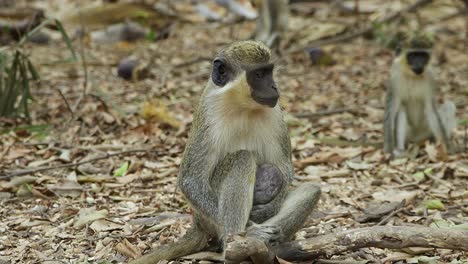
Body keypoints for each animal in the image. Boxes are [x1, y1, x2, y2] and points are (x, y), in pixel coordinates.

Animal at [130, 39, 320, 264]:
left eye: (269, 72)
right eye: (259, 75)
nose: (274, 86)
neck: (242, 106)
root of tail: (197, 222)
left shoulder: (275, 114)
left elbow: (285, 170)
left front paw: (268, 209)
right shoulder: (208, 113)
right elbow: (191, 180)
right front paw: (249, 228)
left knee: (311, 190)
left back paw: (270, 248)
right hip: (209, 221)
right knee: (241, 158)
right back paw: (240, 239)